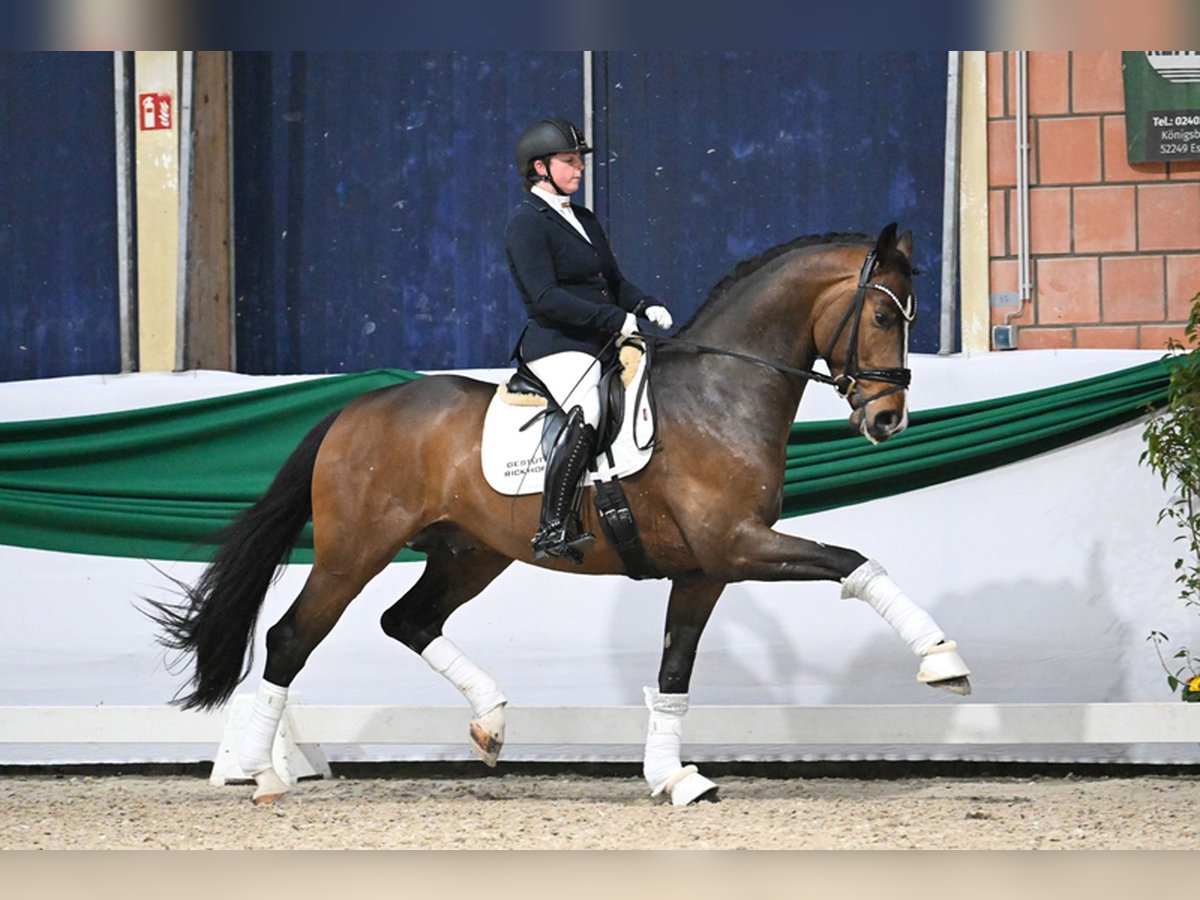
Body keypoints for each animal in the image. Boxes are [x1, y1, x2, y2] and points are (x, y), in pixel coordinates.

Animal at [152, 222, 974, 806]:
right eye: (881, 315)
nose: (888, 420)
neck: (721, 395)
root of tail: (356, 408)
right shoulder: (740, 546)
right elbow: (856, 565)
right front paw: (943, 660)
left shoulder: (707, 569)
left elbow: (674, 670)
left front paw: (675, 778)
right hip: (355, 549)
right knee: (292, 638)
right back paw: (259, 773)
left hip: (471, 552)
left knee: (408, 620)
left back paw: (491, 722)